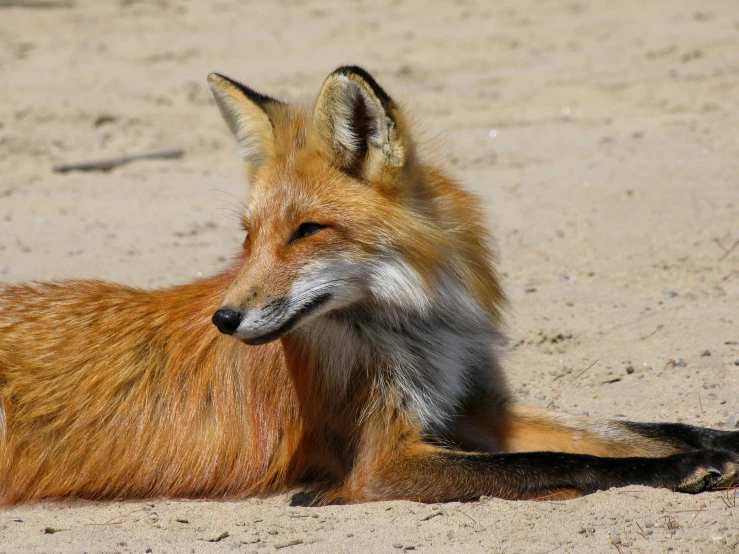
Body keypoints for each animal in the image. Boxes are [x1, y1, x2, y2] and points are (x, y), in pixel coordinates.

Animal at [1, 66, 739, 504]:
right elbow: (561, 463)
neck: (417, 331)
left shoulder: (472, 406)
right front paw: (673, 471)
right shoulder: (383, 460)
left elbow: (635, 426)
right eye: (249, 236)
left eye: (306, 231)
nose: (225, 320)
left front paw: (715, 442)